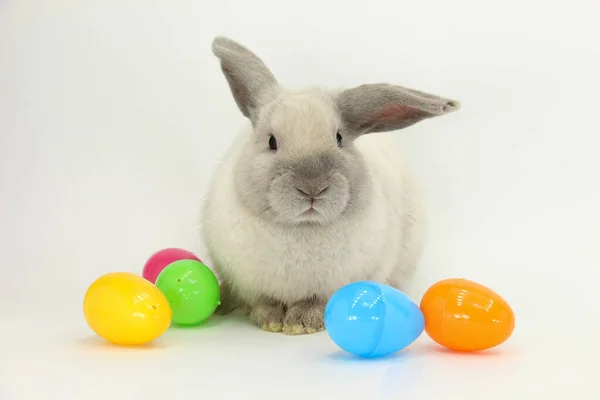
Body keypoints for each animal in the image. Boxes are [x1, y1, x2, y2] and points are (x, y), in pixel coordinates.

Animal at [202, 36, 460, 334]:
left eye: (339, 138)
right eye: (271, 141)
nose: (312, 189)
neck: (304, 228)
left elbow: (316, 301)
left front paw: (301, 322)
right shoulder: (253, 284)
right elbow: (266, 301)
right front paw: (270, 320)